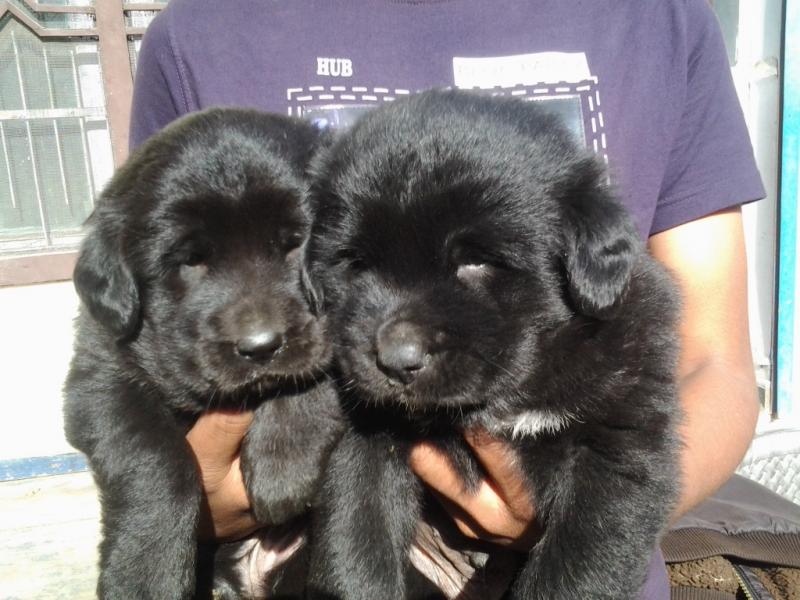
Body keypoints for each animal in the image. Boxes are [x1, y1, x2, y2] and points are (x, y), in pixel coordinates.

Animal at [60, 109, 340, 600]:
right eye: (190, 260)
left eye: (295, 243)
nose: (262, 344)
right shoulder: (100, 376)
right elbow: (156, 460)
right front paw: (145, 576)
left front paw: (284, 461)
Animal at [304, 90, 680, 600]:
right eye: (356, 263)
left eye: (478, 261)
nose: (396, 361)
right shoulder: (367, 432)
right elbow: (357, 539)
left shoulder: (617, 445)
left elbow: (577, 569)